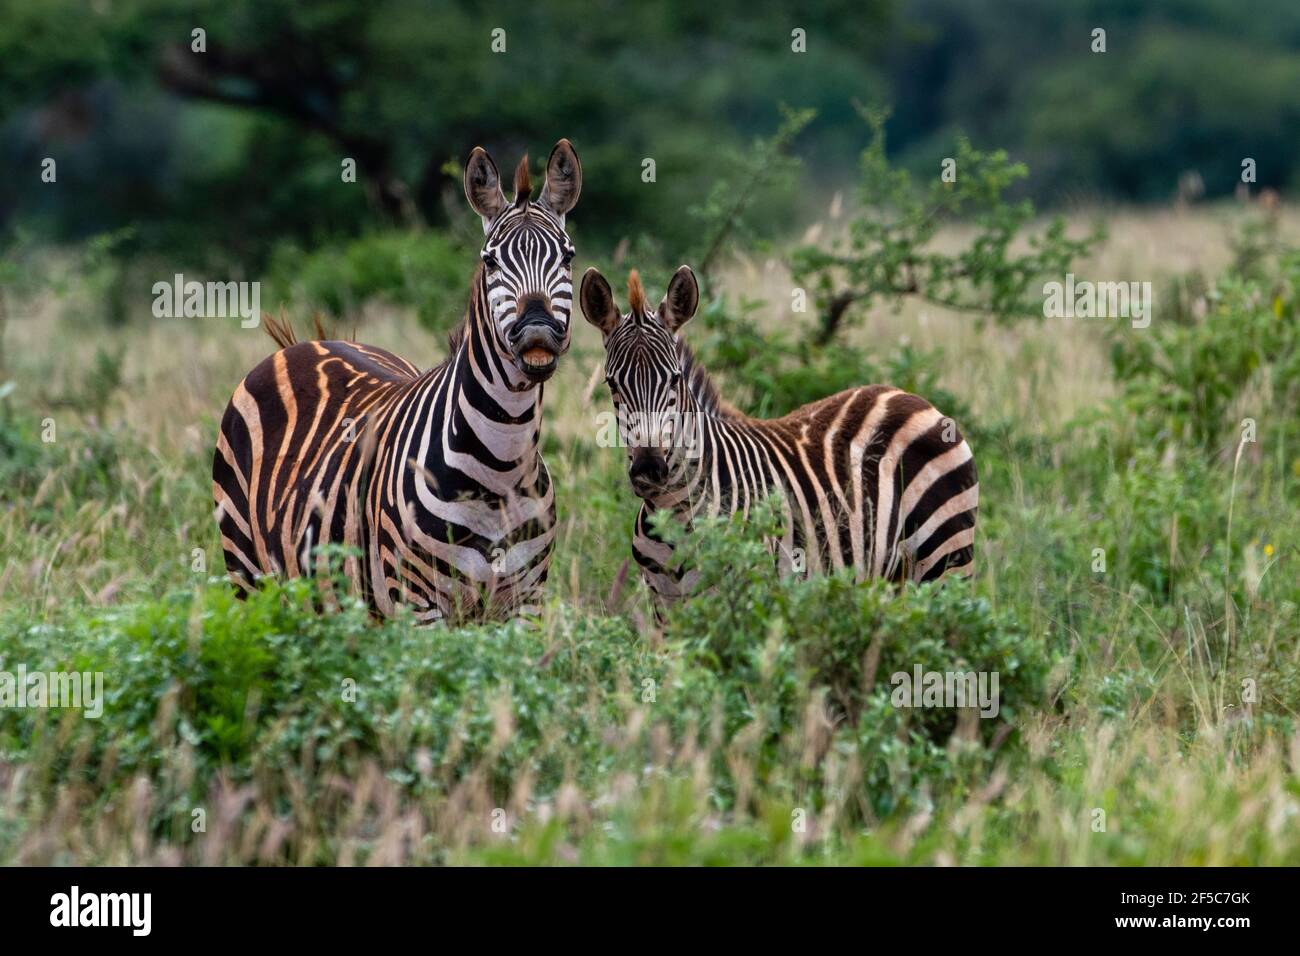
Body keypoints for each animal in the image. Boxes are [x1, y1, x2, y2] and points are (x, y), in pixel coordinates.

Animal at [212, 139, 582, 623]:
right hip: (248, 574)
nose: (537, 330)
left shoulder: (524, 605)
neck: (499, 470)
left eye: (567, 256)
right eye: (490, 261)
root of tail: (304, 344)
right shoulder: (418, 606)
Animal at [579, 264, 978, 607]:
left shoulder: (741, 590)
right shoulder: (664, 606)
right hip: (892, 575)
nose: (649, 469)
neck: (672, 509)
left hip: (946, 559)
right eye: (611, 384)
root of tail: (909, 397)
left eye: (675, 379)